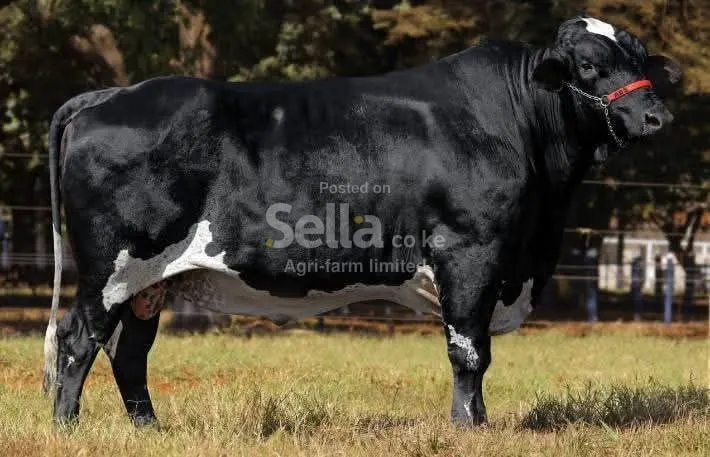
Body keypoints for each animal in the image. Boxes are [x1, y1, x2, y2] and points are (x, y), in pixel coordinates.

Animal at [42, 16, 681, 428]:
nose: (657, 116)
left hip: (149, 282)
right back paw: (67, 427)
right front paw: (471, 428)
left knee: (128, 353)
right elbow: (469, 351)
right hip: (110, 267)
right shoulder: (469, 252)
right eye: (590, 64)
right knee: (78, 339)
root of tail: (111, 94)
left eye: (642, 60)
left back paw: (149, 430)